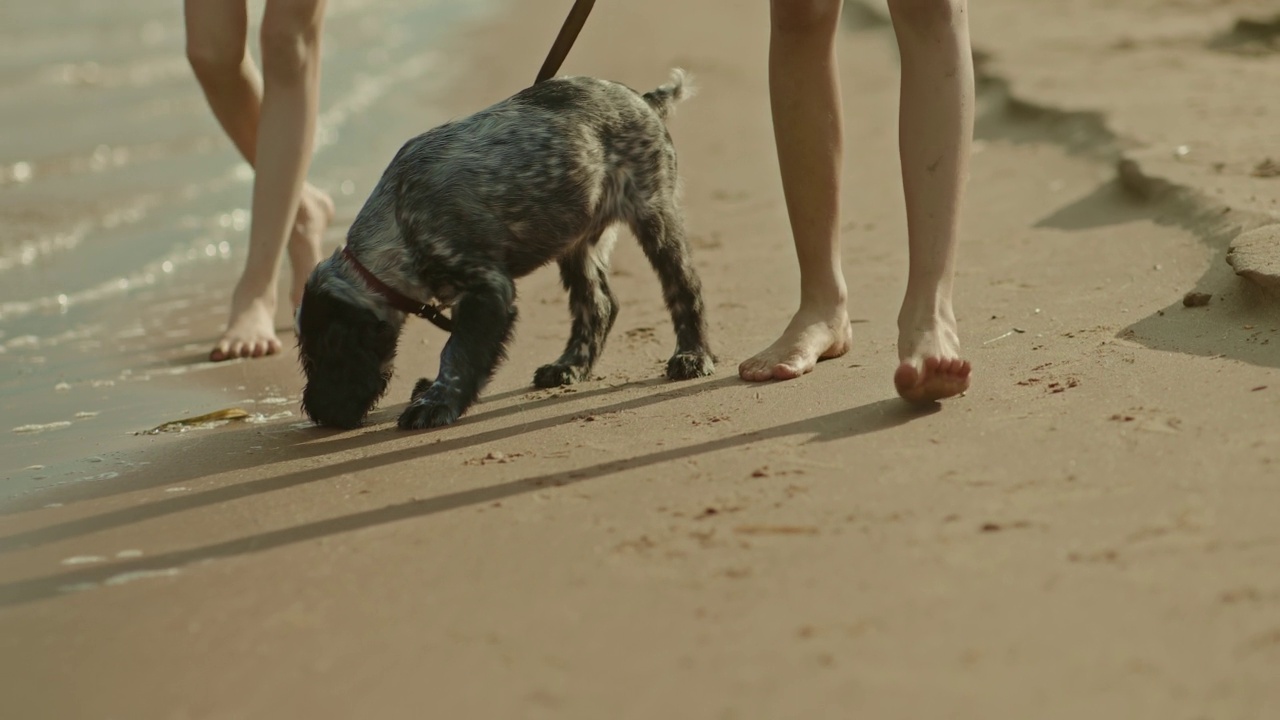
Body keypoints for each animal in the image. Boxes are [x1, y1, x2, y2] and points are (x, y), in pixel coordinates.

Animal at [298, 70, 716, 427]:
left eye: (324, 356)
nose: (319, 414)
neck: (400, 220)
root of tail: (644, 100)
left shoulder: (487, 288)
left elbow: (457, 353)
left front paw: (436, 402)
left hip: (653, 211)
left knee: (683, 287)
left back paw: (692, 356)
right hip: (577, 240)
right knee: (597, 305)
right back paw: (569, 366)